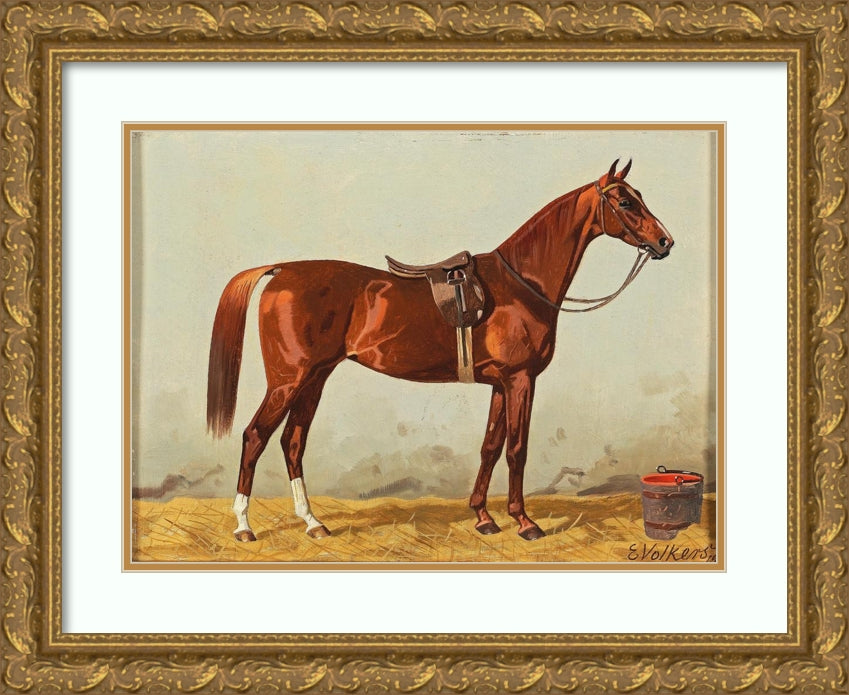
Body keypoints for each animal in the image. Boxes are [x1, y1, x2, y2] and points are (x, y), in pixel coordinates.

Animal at [206, 159, 673, 543]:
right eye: (626, 202)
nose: (665, 242)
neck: (521, 283)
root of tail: (281, 270)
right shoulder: (520, 380)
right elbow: (516, 449)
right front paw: (524, 522)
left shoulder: (500, 384)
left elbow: (490, 445)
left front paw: (483, 517)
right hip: (289, 380)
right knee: (255, 436)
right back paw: (244, 527)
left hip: (315, 378)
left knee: (292, 442)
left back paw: (313, 523)